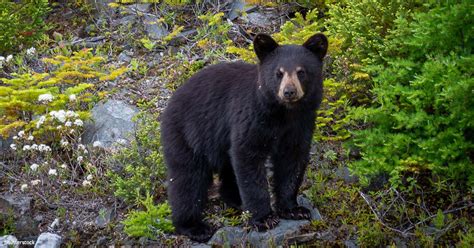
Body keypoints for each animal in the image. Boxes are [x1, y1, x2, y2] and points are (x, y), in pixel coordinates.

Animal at [161, 32, 328, 241]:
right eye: (278, 73)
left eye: (301, 72)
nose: (289, 92)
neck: (283, 113)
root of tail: (171, 100)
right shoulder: (252, 117)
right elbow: (248, 157)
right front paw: (263, 218)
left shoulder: (301, 124)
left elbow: (292, 161)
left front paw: (293, 209)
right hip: (187, 135)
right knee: (188, 179)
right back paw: (194, 226)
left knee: (227, 169)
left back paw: (235, 200)